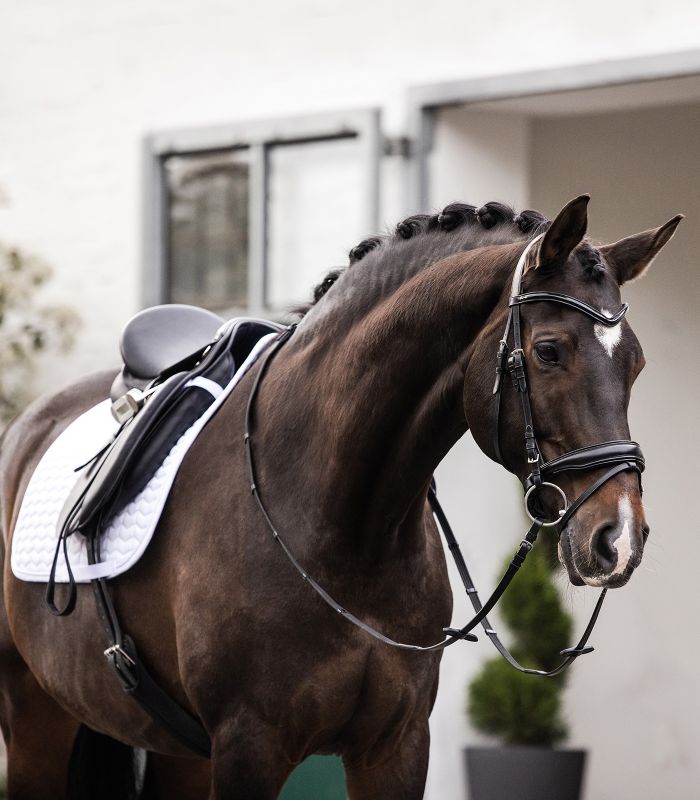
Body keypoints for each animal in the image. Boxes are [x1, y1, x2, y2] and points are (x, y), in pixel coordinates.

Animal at [0, 194, 681, 799]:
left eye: (637, 365)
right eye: (548, 351)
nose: (619, 537)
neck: (345, 527)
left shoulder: (396, 748)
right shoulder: (250, 746)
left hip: (181, 755)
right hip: (36, 723)